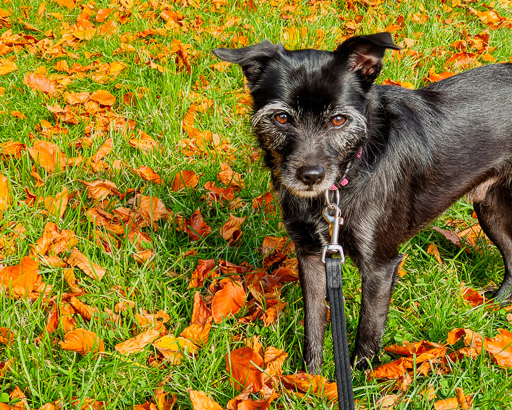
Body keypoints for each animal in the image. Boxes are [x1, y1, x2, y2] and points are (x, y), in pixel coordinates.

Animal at [212, 31, 512, 372]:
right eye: (281, 117)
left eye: (339, 120)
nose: (310, 175)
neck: (345, 179)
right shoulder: (311, 256)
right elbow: (313, 324)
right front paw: (311, 378)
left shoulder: (380, 267)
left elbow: (368, 332)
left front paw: (362, 377)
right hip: (489, 208)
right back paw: (497, 304)